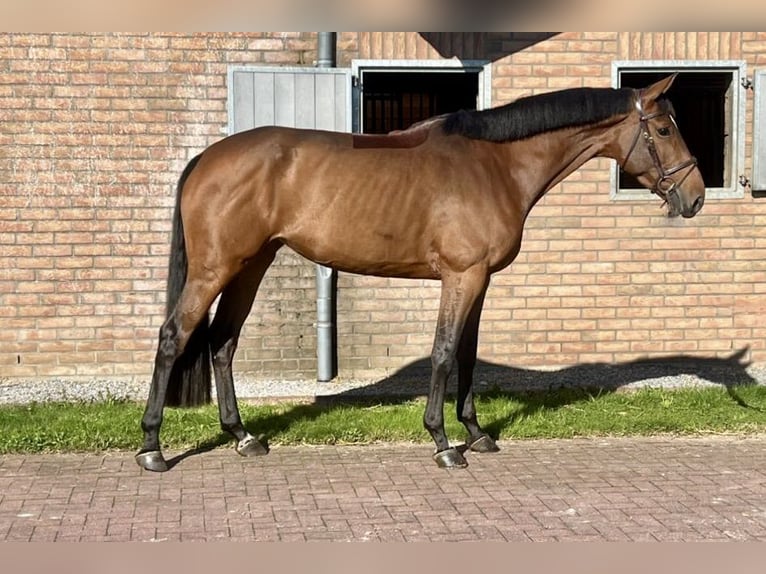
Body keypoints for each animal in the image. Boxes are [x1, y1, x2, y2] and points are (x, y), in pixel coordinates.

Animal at [140, 74, 708, 474]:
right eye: (663, 129)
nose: (696, 197)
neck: (496, 165)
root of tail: (206, 157)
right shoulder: (461, 276)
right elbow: (442, 352)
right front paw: (442, 442)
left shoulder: (481, 280)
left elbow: (467, 356)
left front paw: (476, 433)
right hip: (216, 268)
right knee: (173, 337)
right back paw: (152, 447)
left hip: (251, 265)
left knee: (222, 343)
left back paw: (242, 437)